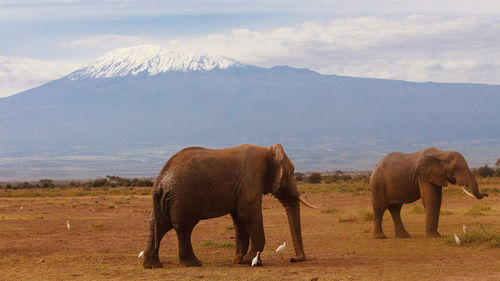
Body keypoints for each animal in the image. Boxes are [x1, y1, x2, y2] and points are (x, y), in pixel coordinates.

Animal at [141, 143, 314, 268]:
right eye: (291, 173)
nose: (294, 259)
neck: (268, 151)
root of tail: (159, 181)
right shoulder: (251, 179)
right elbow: (248, 215)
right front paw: (252, 261)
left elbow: (239, 219)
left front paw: (239, 261)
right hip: (183, 197)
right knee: (184, 228)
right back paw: (193, 264)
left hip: (168, 199)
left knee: (158, 226)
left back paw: (152, 266)